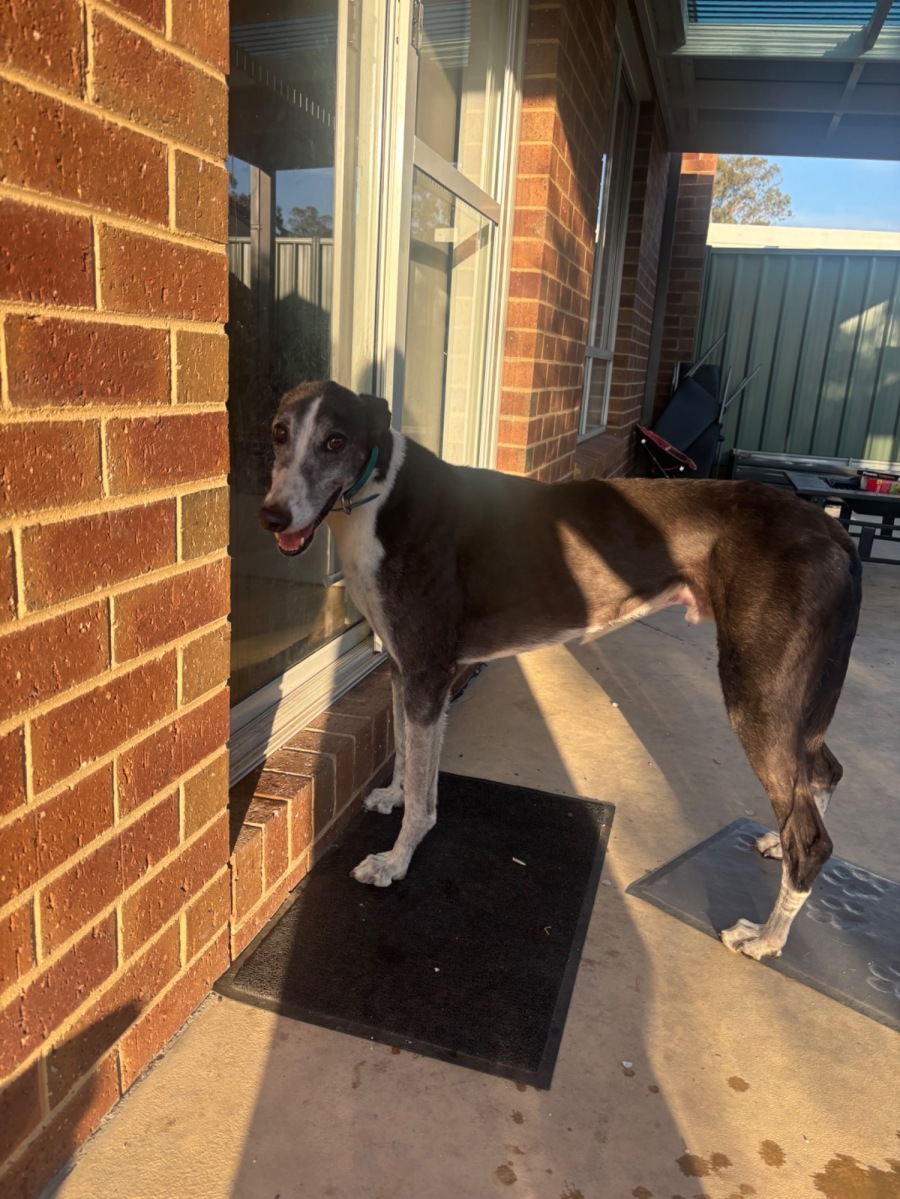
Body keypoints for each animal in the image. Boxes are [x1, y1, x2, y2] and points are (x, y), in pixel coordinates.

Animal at [259, 380, 862, 961]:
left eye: (336, 441)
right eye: (279, 432)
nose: (272, 517)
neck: (380, 494)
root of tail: (832, 530)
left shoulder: (429, 670)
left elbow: (426, 799)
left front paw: (394, 862)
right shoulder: (405, 667)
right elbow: (408, 752)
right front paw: (394, 796)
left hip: (756, 691)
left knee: (812, 834)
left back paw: (766, 938)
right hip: (794, 693)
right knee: (823, 772)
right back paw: (777, 847)